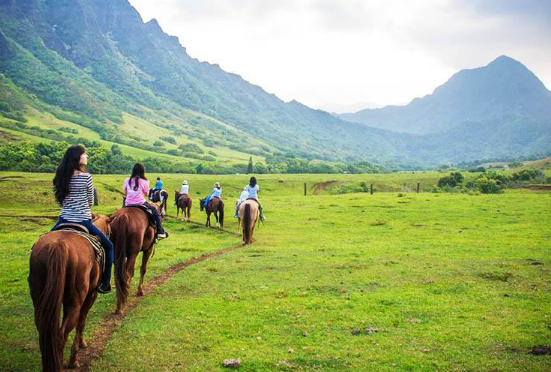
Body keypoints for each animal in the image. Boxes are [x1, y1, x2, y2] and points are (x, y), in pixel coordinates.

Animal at [28, 215, 111, 372]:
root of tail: (59, 245)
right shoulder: (91, 295)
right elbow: (82, 322)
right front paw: (76, 355)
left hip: (39, 300)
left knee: (44, 331)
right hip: (74, 303)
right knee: (61, 335)